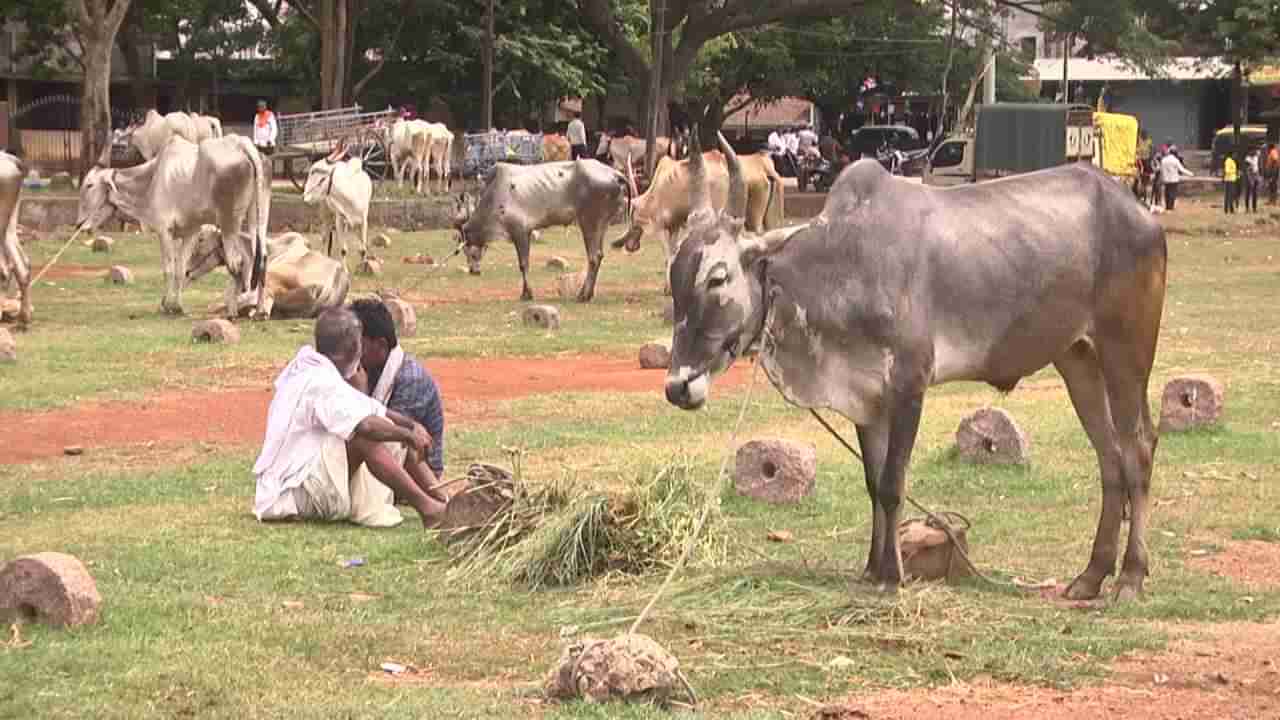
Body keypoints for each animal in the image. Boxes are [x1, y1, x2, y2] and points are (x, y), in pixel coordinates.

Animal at [74, 134, 270, 316]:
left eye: (89, 185)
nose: (79, 224)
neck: (152, 178)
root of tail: (243, 145)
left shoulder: (164, 231)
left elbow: (169, 269)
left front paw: (166, 306)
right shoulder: (190, 232)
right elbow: (181, 269)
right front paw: (178, 306)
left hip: (229, 224)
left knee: (237, 263)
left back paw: (233, 313)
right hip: (257, 218)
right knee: (260, 259)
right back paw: (259, 311)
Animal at [453, 158, 632, 299]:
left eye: (469, 251)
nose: (474, 271)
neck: (494, 196)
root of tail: (615, 174)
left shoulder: (520, 231)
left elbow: (523, 264)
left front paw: (527, 294)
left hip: (589, 221)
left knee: (593, 257)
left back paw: (583, 295)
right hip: (601, 224)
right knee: (599, 255)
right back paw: (588, 294)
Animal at [665, 133, 1167, 599]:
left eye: (718, 277)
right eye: (674, 278)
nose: (677, 387)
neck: (841, 264)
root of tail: (1138, 211)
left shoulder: (910, 385)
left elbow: (892, 484)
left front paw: (893, 576)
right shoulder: (866, 400)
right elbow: (873, 483)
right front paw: (872, 569)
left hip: (1126, 353)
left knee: (1138, 450)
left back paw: (1130, 576)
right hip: (1078, 359)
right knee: (1109, 457)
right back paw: (1091, 576)